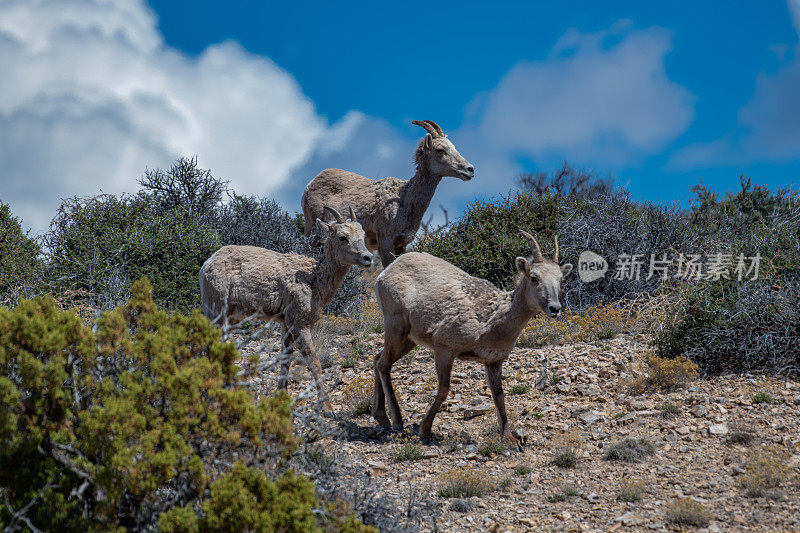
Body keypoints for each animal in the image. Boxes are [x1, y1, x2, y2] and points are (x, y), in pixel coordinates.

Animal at [200, 206, 376, 406]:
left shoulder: (286, 323)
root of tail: (206, 265)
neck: (314, 280)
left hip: (230, 319)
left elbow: (286, 360)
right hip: (216, 312)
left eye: (362, 235)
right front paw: (327, 407)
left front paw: (281, 398)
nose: (368, 258)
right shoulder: (299, 323)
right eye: (342, 237)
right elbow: (314, 362)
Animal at [302, 120, 476, 266]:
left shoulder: (401, 245)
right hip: (313, 234)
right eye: (440, 150)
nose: (470, 169)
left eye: (454, 147)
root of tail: (309, 185)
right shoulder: (385, 243)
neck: (404, 200)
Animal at [372, 231, 572, 446]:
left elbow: (499, 395)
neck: (491, 321)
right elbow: (443, 390)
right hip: (396, 326)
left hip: (408, 340)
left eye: (561, 279)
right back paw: (397, 422)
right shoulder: (445, 348)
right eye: (534, 278)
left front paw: (510, 439)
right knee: (383, 364)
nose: (555, 308)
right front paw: (424, 433)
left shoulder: (493, 361)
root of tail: (385, 273)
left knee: (377, 359)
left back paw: (381, 418)